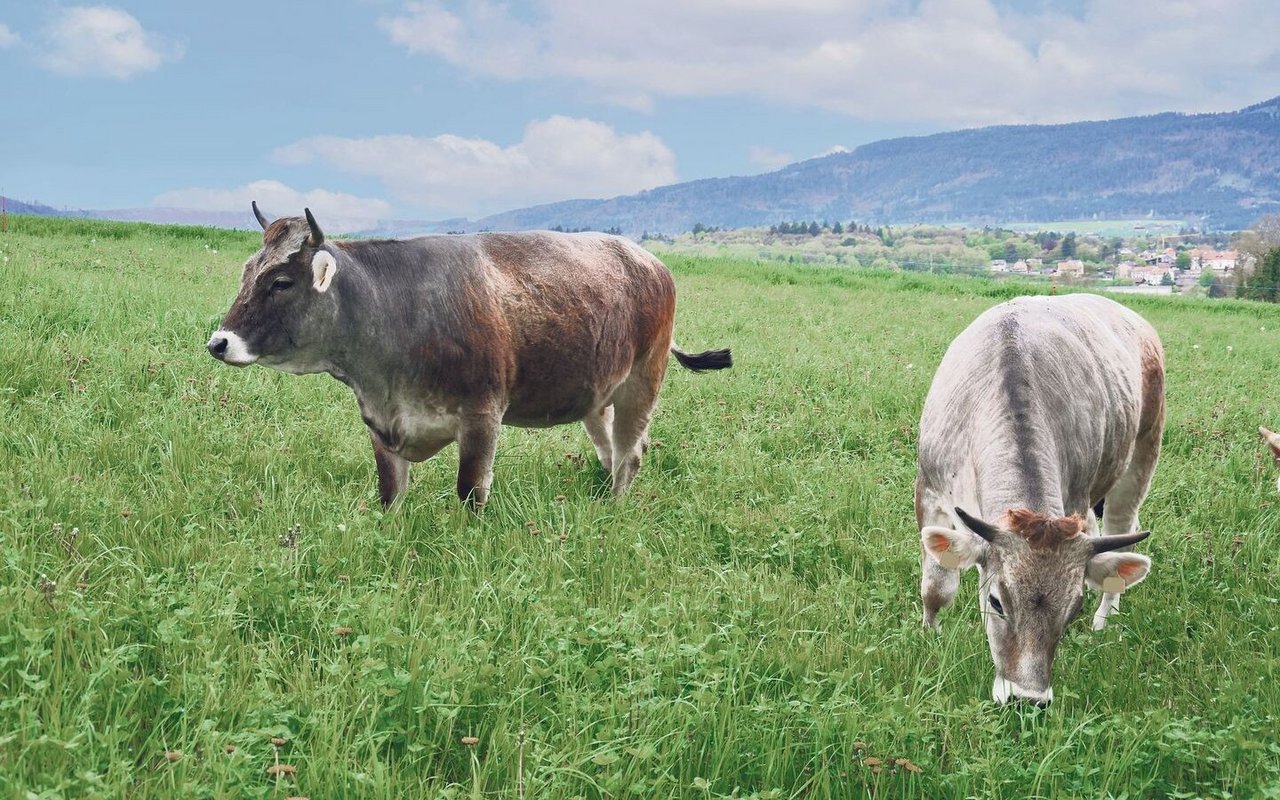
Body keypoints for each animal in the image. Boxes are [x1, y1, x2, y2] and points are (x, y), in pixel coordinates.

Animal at [208, 202, 732, 509]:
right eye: (247, 272)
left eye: (280, 282)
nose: (219, 341)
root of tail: (648, 259)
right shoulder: (380, 423)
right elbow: (389, 495)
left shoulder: (482, 414)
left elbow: (469, 493)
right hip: (596, 393)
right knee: (609, 448)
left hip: (643, 382)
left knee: (630, 451)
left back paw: (615, 507)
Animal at [916, 293, 1167, 706]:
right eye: (996, 601)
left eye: (1073, 609)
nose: (1027, 699)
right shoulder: (928, 490)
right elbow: (936, 587)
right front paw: (929, 637)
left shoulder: (1076, 497)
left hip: (1143, 452)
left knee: (1121, 530)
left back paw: (1105, 619)